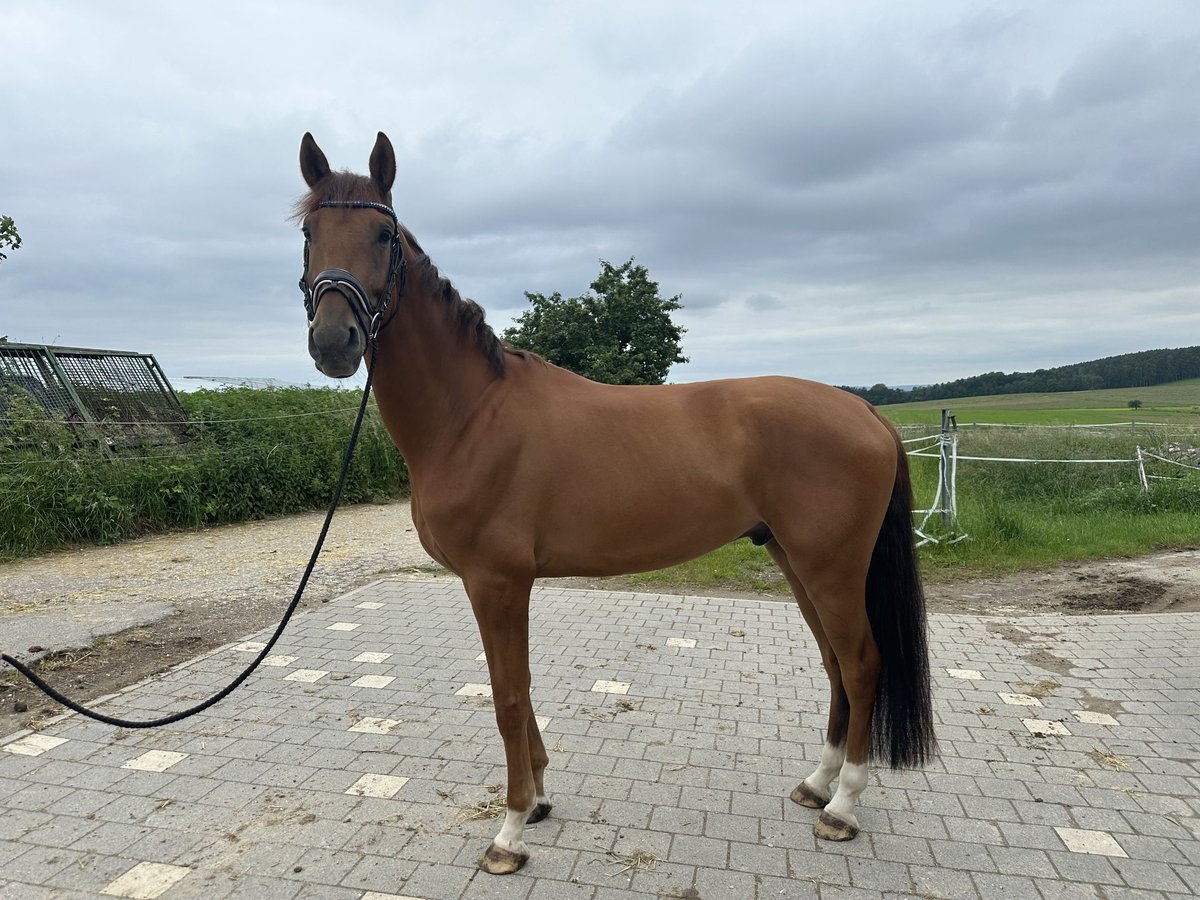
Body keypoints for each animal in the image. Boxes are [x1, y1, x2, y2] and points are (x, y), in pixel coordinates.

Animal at [295, 132, 931, 873]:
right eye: (309, 233)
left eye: (383, 234)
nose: (334, 342)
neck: (471, 414)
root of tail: (866, 410)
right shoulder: (505, 586)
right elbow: (524, 692)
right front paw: (540, 800)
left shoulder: (496, 582)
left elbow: (508, 697)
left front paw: (510, 832)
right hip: (796, 560)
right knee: (835, 665)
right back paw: (816, 784)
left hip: (831, 567)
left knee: (860, 664)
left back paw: (843, 807)